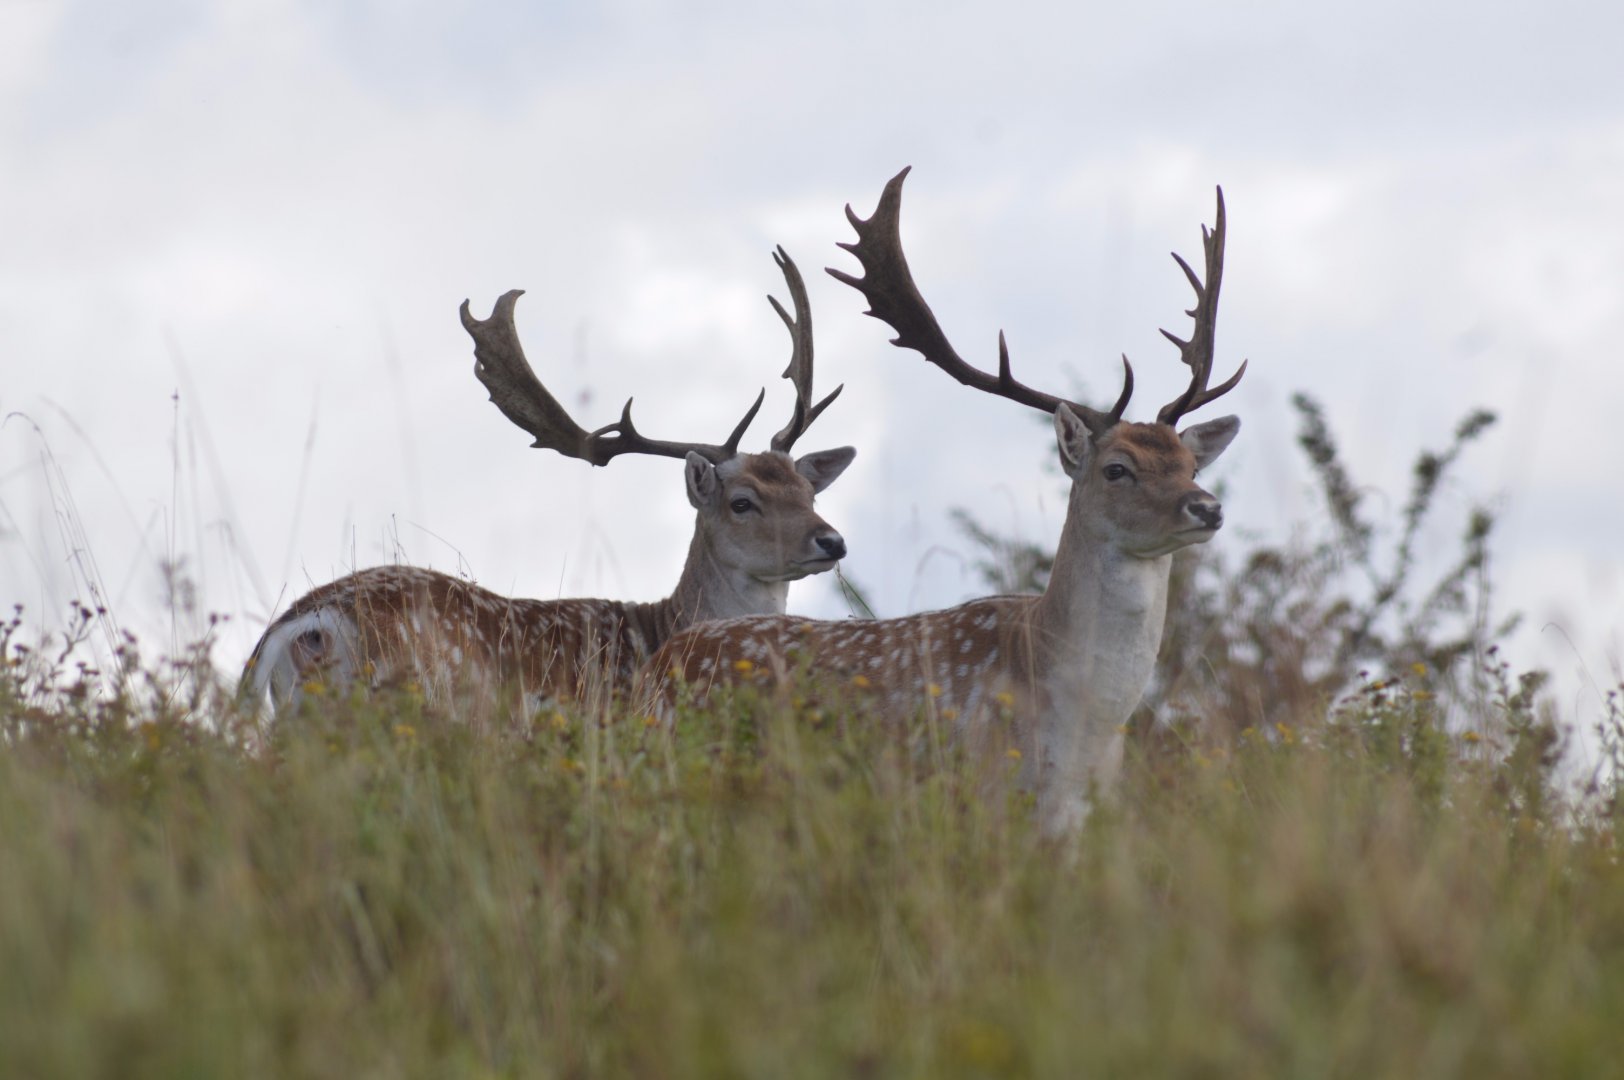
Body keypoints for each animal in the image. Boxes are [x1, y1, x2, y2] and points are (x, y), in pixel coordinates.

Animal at [645, 169, 1245, 832]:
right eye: (1117, 468)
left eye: (1191, 464)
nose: (1207, 507)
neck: (1081, 726)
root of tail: (662, 658)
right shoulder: (983, 793)